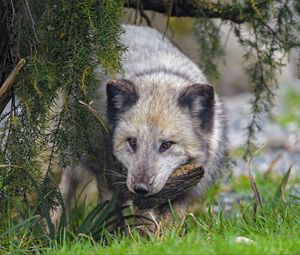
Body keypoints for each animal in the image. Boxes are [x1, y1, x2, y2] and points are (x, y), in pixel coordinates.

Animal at [55, 24, 226, 232]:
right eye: (132, 142)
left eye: (166, 145)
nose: (140, 189)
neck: (160, 74)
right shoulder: (110, 176)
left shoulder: (183, 194)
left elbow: (172, 217)